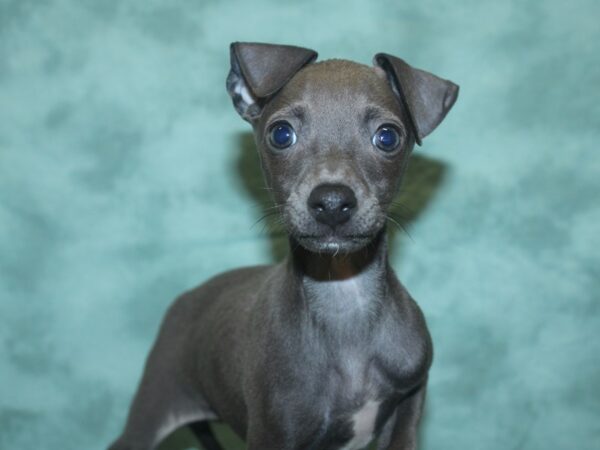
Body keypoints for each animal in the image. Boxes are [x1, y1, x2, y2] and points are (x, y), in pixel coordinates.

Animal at [108, 42, 458, 450]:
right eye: (281, 134)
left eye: (387, 137)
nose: (332, 203)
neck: (345, 296)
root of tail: (191, 295)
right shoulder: (274, 429)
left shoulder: (409, 402)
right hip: (155, 402)